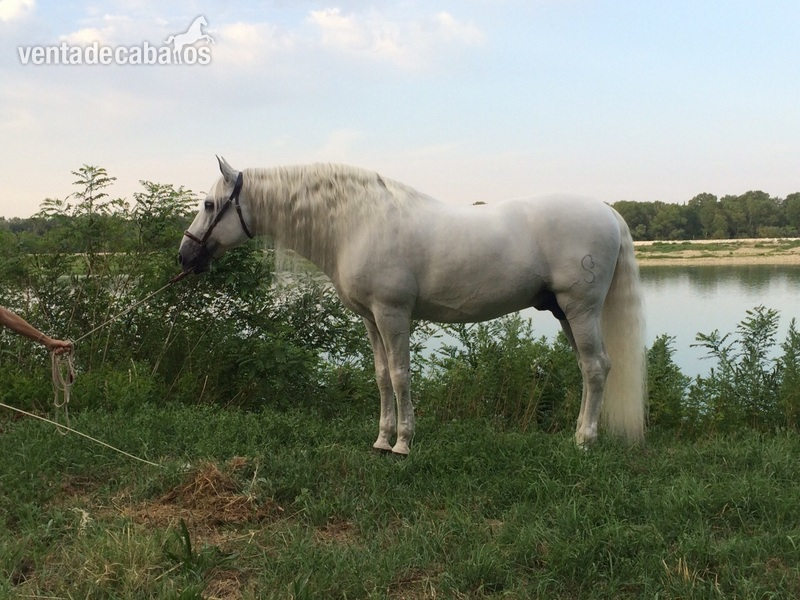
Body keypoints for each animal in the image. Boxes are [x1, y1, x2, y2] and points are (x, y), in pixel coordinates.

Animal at [178, 157, 647, 455]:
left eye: (208, 204)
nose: (185, 256)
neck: (359, 222)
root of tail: (608, 213)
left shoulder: (393, 313)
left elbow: (402, 375)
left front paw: (403, 443)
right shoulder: (371, 319)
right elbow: (382, 376)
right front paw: (382, 440)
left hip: (581, 309)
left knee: (595, 368)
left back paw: (584, 441)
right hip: (565, 312)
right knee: (590, 368)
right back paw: (579, 434)